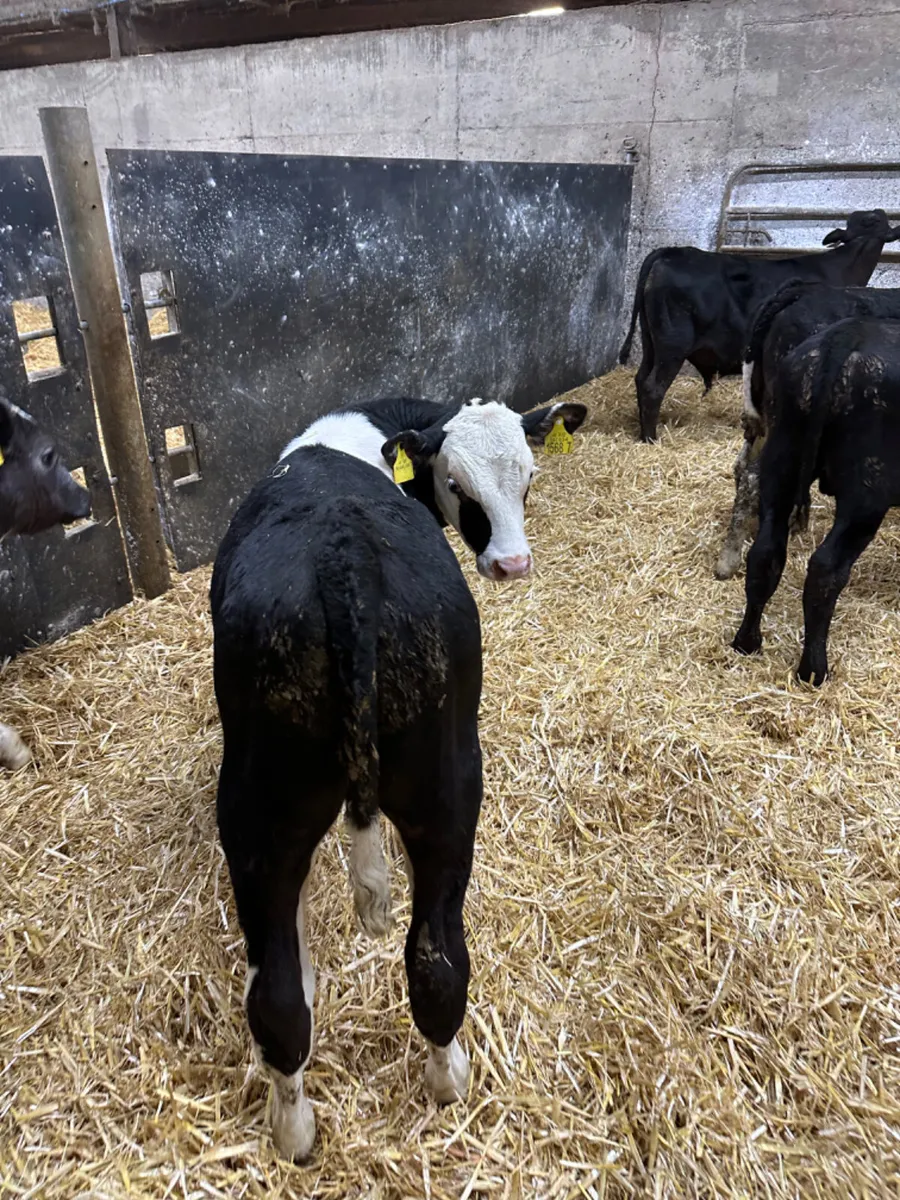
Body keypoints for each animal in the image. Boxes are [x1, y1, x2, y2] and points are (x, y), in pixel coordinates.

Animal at [211, 439, 484, 1160]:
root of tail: (346, 560)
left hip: (261, 813)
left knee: (281, 998)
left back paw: (295, 1132)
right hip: (447, 788)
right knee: (436, 963)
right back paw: (445, 1082)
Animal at [618, 209, 900, 443]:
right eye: (873, 220)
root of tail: (671, 252)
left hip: (650, 341)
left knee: (641, 379)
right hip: (673, 344)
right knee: (653, 387)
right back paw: (652, 439)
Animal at [732, 317, 900, 684]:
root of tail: (846, 335)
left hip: (781, 461)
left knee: (765, 554)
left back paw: (747, 642)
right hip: (866, 496)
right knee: (825, 568)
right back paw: (813, 670)